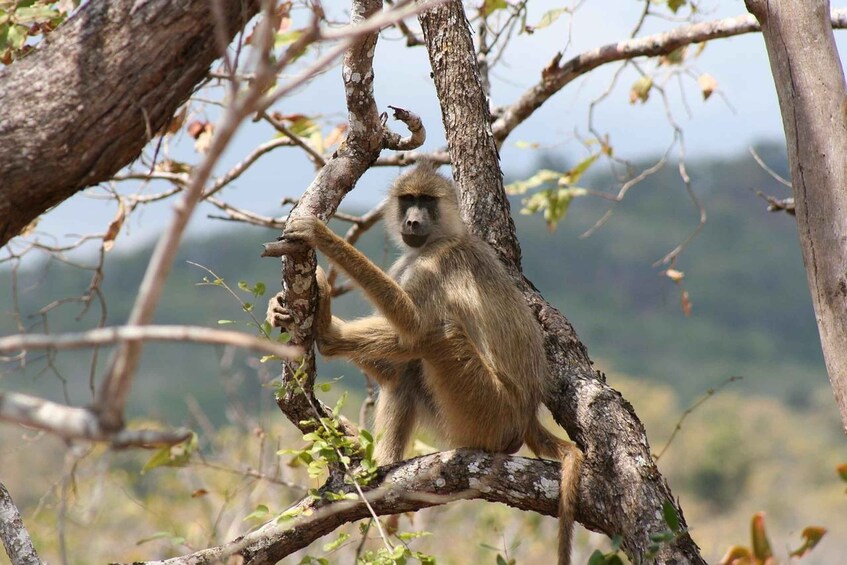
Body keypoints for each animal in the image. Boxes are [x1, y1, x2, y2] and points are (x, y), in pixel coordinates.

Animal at [267, 163, 583, 565]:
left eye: (427, 201)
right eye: (408, 200)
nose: (413, 221)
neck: (437, 239)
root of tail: (528, 415)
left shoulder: (438, 263)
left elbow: (414, 328)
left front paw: (323, 238)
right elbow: (400, 356)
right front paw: (307, 320)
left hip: (491, 411)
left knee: (439, 334)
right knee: (406, 374)